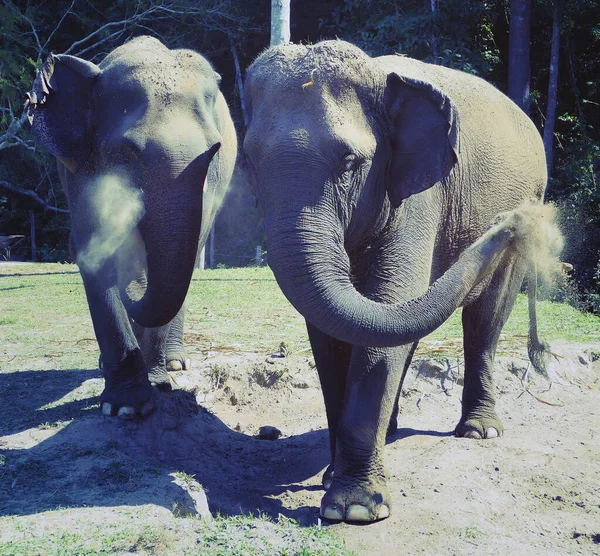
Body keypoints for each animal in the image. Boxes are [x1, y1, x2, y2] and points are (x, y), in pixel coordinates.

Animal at [26, 34, 237, 416]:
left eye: (214, 149)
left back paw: (174, 364)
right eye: (126, 153)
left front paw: (157, 386)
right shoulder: (80, 170)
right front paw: (125, 408)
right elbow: (93, 249)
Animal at [243, 41, 556, 524]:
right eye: (248, 161)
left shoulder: (420, 197)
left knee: (484, 320)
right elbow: (334, 331)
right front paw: (332, 481)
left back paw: (479, 431)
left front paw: (353, 509)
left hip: (523, 217)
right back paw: (390, 431)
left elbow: (388, 302)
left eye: (349, 162)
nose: (513, 222)